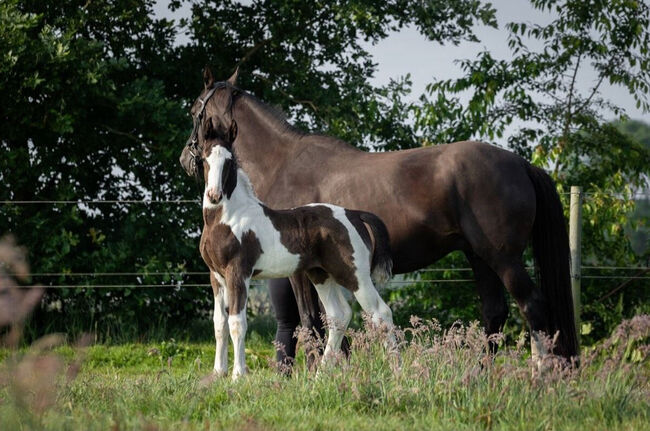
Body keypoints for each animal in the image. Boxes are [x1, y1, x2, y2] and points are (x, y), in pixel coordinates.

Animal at [197, 134, 392, 378]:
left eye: (229, 162)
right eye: (204, 159)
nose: (214, 195)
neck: (229, 217)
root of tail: (354, 214)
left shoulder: (238, 273)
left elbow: (236, 323)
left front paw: (238, 375)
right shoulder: (216, 276)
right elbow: (219, 323)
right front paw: (218, 373)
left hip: (355, 276)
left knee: (381, 313)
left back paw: (397, 370)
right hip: (320, 274)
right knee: (339, 315)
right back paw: (320, 376)